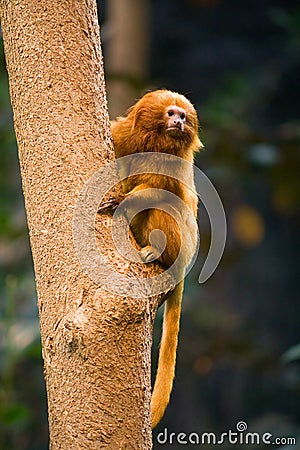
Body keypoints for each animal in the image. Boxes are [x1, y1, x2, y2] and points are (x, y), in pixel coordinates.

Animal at [105, 89, 202, 428]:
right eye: (171, 113)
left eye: (183, 116)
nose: (178, 122)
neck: (155, 143)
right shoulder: (122, 135)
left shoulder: (171, 166)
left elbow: (159, 191)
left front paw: (121, 200)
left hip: (180, 245)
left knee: (165, 209)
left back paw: (155, 255)